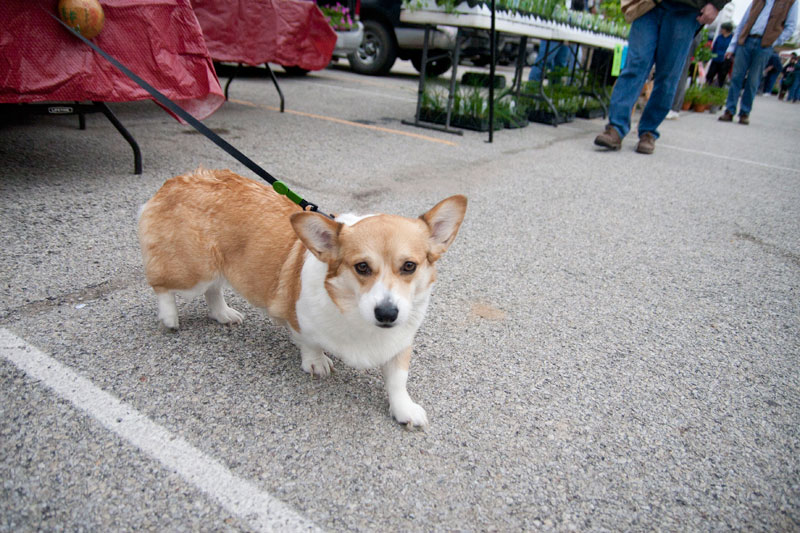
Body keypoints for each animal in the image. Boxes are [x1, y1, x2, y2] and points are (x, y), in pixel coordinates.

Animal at [136, 168, 462, 426]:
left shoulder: (400, 341)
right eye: (362, 267)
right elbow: (309, 342)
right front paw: (316, 362)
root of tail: (176, 180)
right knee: (162, 285)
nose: (386, 314)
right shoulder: (297, 318)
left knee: (213, 289)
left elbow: (397, 379)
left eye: (409, 266)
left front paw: (404, 409)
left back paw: (223, 313)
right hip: (193, 272)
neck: (355, 314)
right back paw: (169, 317)